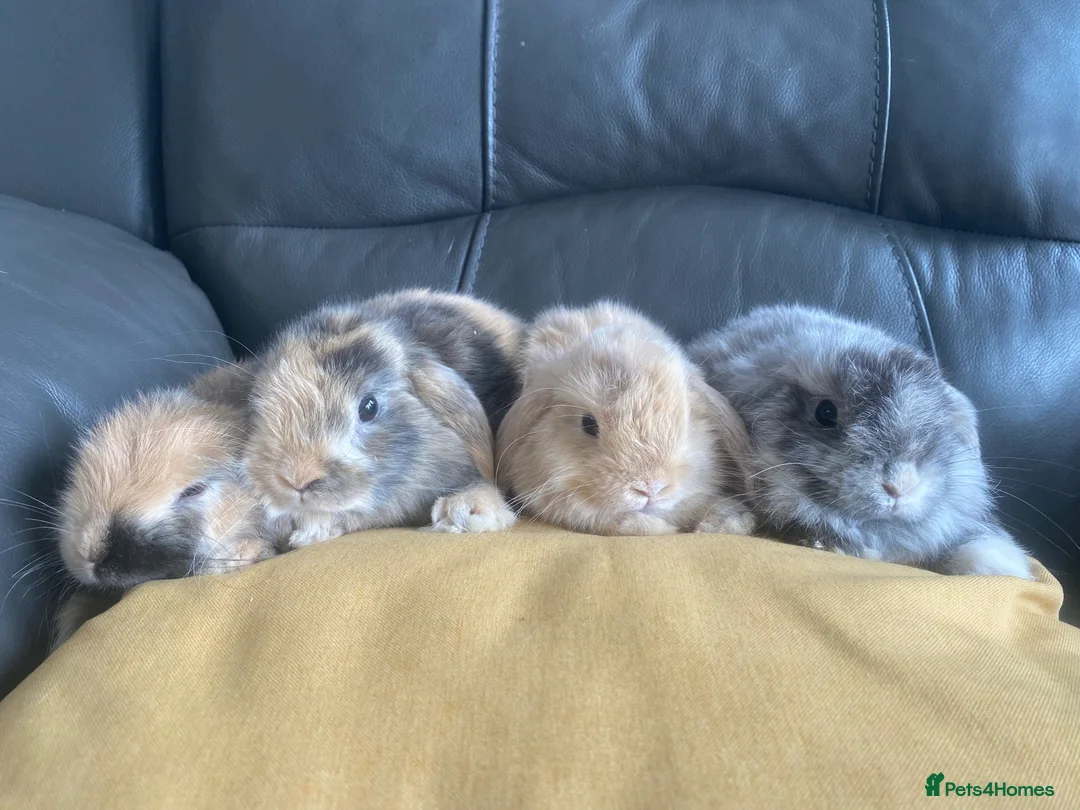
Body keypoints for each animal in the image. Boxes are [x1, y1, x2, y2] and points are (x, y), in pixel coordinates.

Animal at [494, 301, 755, 536]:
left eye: (687, 418)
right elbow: (600, 518)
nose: (651, 488)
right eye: (588, 424)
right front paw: (653, 526)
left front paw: (732, 521)